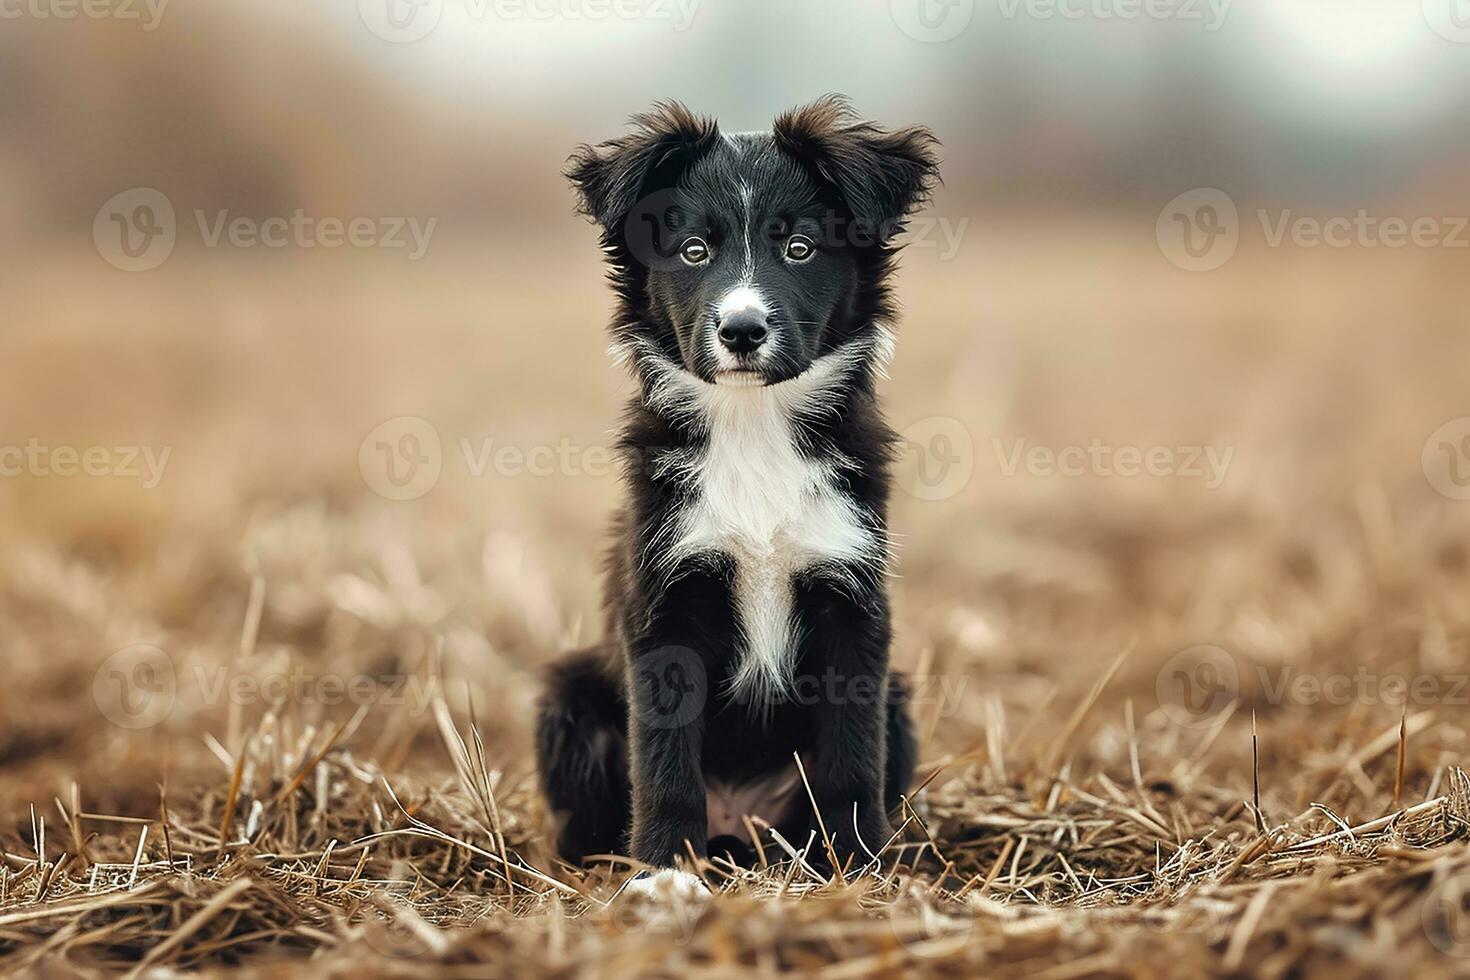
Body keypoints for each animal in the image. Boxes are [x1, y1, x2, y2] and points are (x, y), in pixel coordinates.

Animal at [535, 95, 934, 899]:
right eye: (693, 251)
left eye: (801, 249)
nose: (743, 330)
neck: (754, 428)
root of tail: (740, 829)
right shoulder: (665, 599)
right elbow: (663, 756)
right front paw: (662, 873)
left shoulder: (850, 597)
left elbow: (852, 754)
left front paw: (856, 863)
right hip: (569, 697)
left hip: (901, 701)